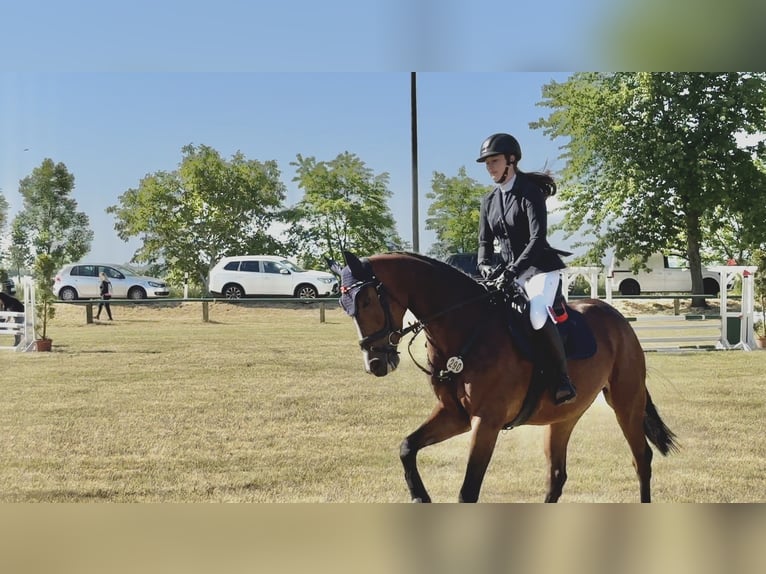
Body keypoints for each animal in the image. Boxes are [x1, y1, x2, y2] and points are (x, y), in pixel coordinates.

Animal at [331, 250, 678, 503]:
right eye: (345, 305)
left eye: (366, 301)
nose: (376, 363)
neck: (465, 328)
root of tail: (617, 317)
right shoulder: (455, 416)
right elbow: (406, 447)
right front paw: (420, 497)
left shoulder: (487, 422)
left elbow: (468, 491)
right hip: (564, 417)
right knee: (556, 476)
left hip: (626, 403)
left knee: (642, 460)